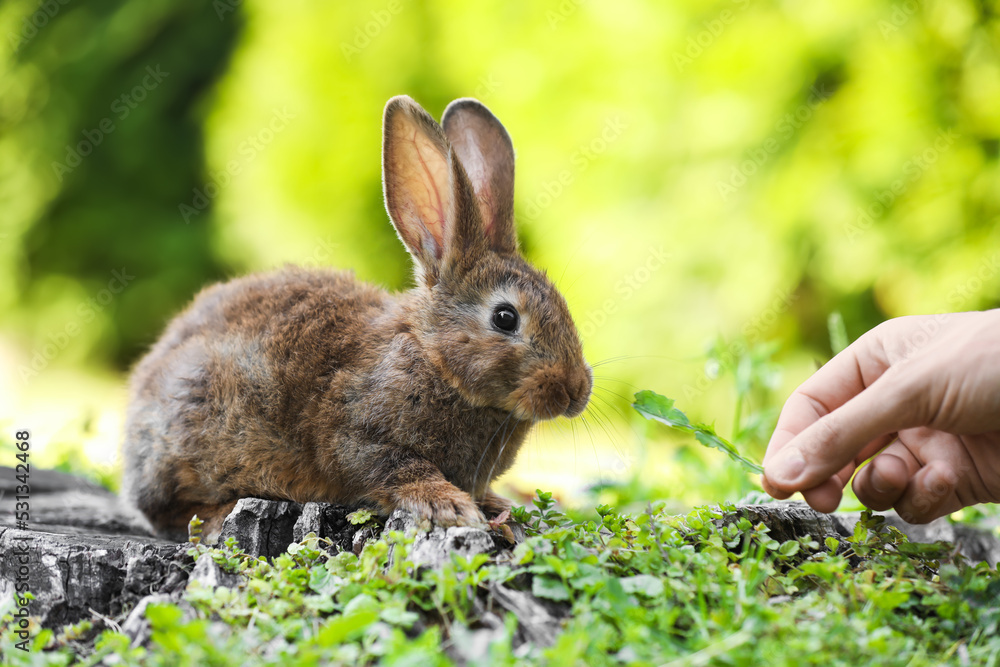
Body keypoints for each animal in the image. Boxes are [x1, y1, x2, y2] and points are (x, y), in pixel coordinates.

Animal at [122, 95, 593, 542]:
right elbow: (395, 468)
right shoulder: (356, 435)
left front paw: (500, 508)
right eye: (505, 317)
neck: (433, 360)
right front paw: (449, 506)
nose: (576, 391)